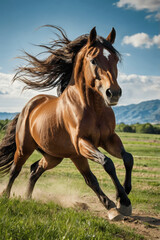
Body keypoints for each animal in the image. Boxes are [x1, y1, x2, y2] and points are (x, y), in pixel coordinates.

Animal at [0, 26, 134, 221]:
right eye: (93, 60)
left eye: (115, 59)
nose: (113, 93)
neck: (93, 109)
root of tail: (29, 106)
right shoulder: (82, 142)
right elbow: (107, 163)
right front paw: (119, 203)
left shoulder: (109, 138)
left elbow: (128, 158)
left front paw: (124, 195)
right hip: (27, 148)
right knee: (15, 170)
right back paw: (6, 196)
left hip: (55, 156)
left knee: (35, 169)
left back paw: (28, 198)